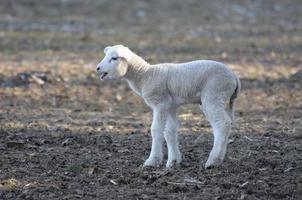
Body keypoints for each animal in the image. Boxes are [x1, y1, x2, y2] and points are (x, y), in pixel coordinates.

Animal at [96, 44, 241, 168]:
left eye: (114, 58)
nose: (97, 68)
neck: (145, 75)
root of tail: (234, 76)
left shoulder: (160, 103)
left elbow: (156, 130)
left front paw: (152, 160)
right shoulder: (170, 106)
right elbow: (169, 131)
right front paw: (173, 161)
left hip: (213, 94)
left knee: (222, 124)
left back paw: (213, 161)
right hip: (220, 99)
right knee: (227, 124)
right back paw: (220, 157)